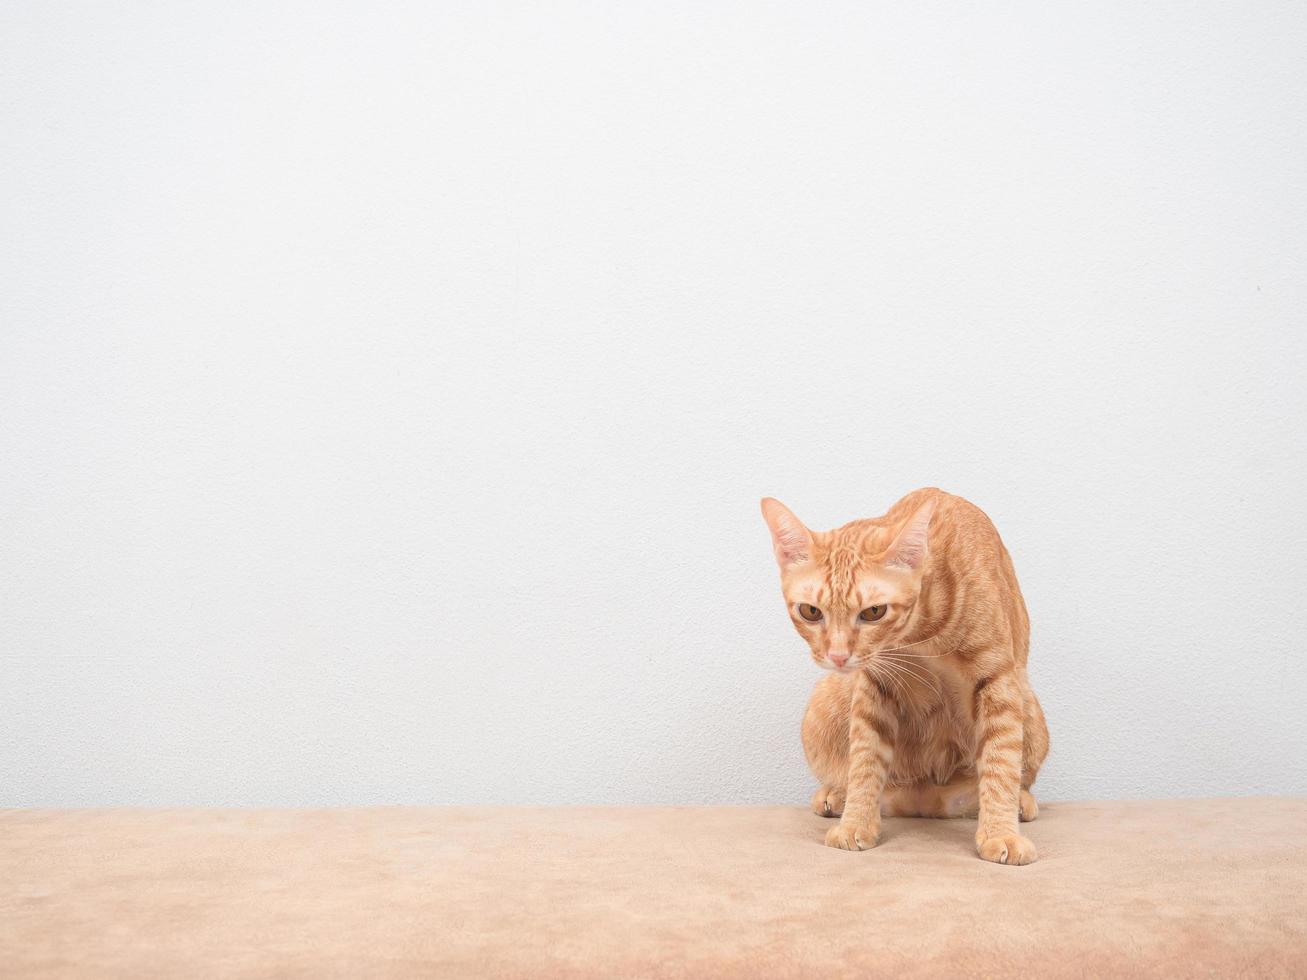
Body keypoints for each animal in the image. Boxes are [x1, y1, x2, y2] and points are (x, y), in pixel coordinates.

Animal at [758, 491, 1050, 867]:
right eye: (810, 612)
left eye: (873, 612)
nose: (837, 656)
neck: (922, 636)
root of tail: (924, 800)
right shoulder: (873, 685)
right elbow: (865, 761)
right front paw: (856, 823)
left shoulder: (998, 679)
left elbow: (1001, 762)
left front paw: (1000, 833)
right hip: (826, 701)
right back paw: (835, 796)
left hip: (1029, 705)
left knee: (1015, 775)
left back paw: (1021, 803)